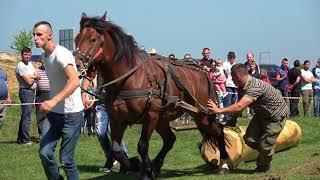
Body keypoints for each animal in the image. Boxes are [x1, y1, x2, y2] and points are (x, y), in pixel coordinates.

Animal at [74, 12, 230, 179]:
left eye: (93, 39)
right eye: (76, 39)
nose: (76, 64)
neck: (129, 78)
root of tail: (202, 71)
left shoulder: (150, 116)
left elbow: (142, 145)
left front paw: (146, 171)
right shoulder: (117, 119)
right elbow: (116, 149)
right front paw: (136, 164)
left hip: (201, 114)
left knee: (219, 130)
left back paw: (224, 163)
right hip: (164, 119)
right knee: (170, 139)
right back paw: (156, 164)